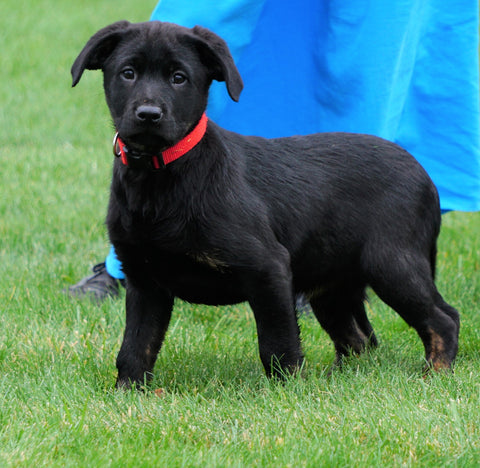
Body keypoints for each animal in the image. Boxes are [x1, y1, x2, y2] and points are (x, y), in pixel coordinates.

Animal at [70, 21, 458, 388]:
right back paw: (341, 378)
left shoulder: (268, 268)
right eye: (128, 73)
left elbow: (277, 342)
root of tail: (425, 176)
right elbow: (136, 346)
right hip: (330, 283)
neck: (161, 174)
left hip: (391, 261)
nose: (149, 114)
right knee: (358, 338)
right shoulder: (144, 280)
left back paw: (436, 372)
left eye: (179, 78)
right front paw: (127, 392)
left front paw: (290, 390)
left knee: (444, 318)